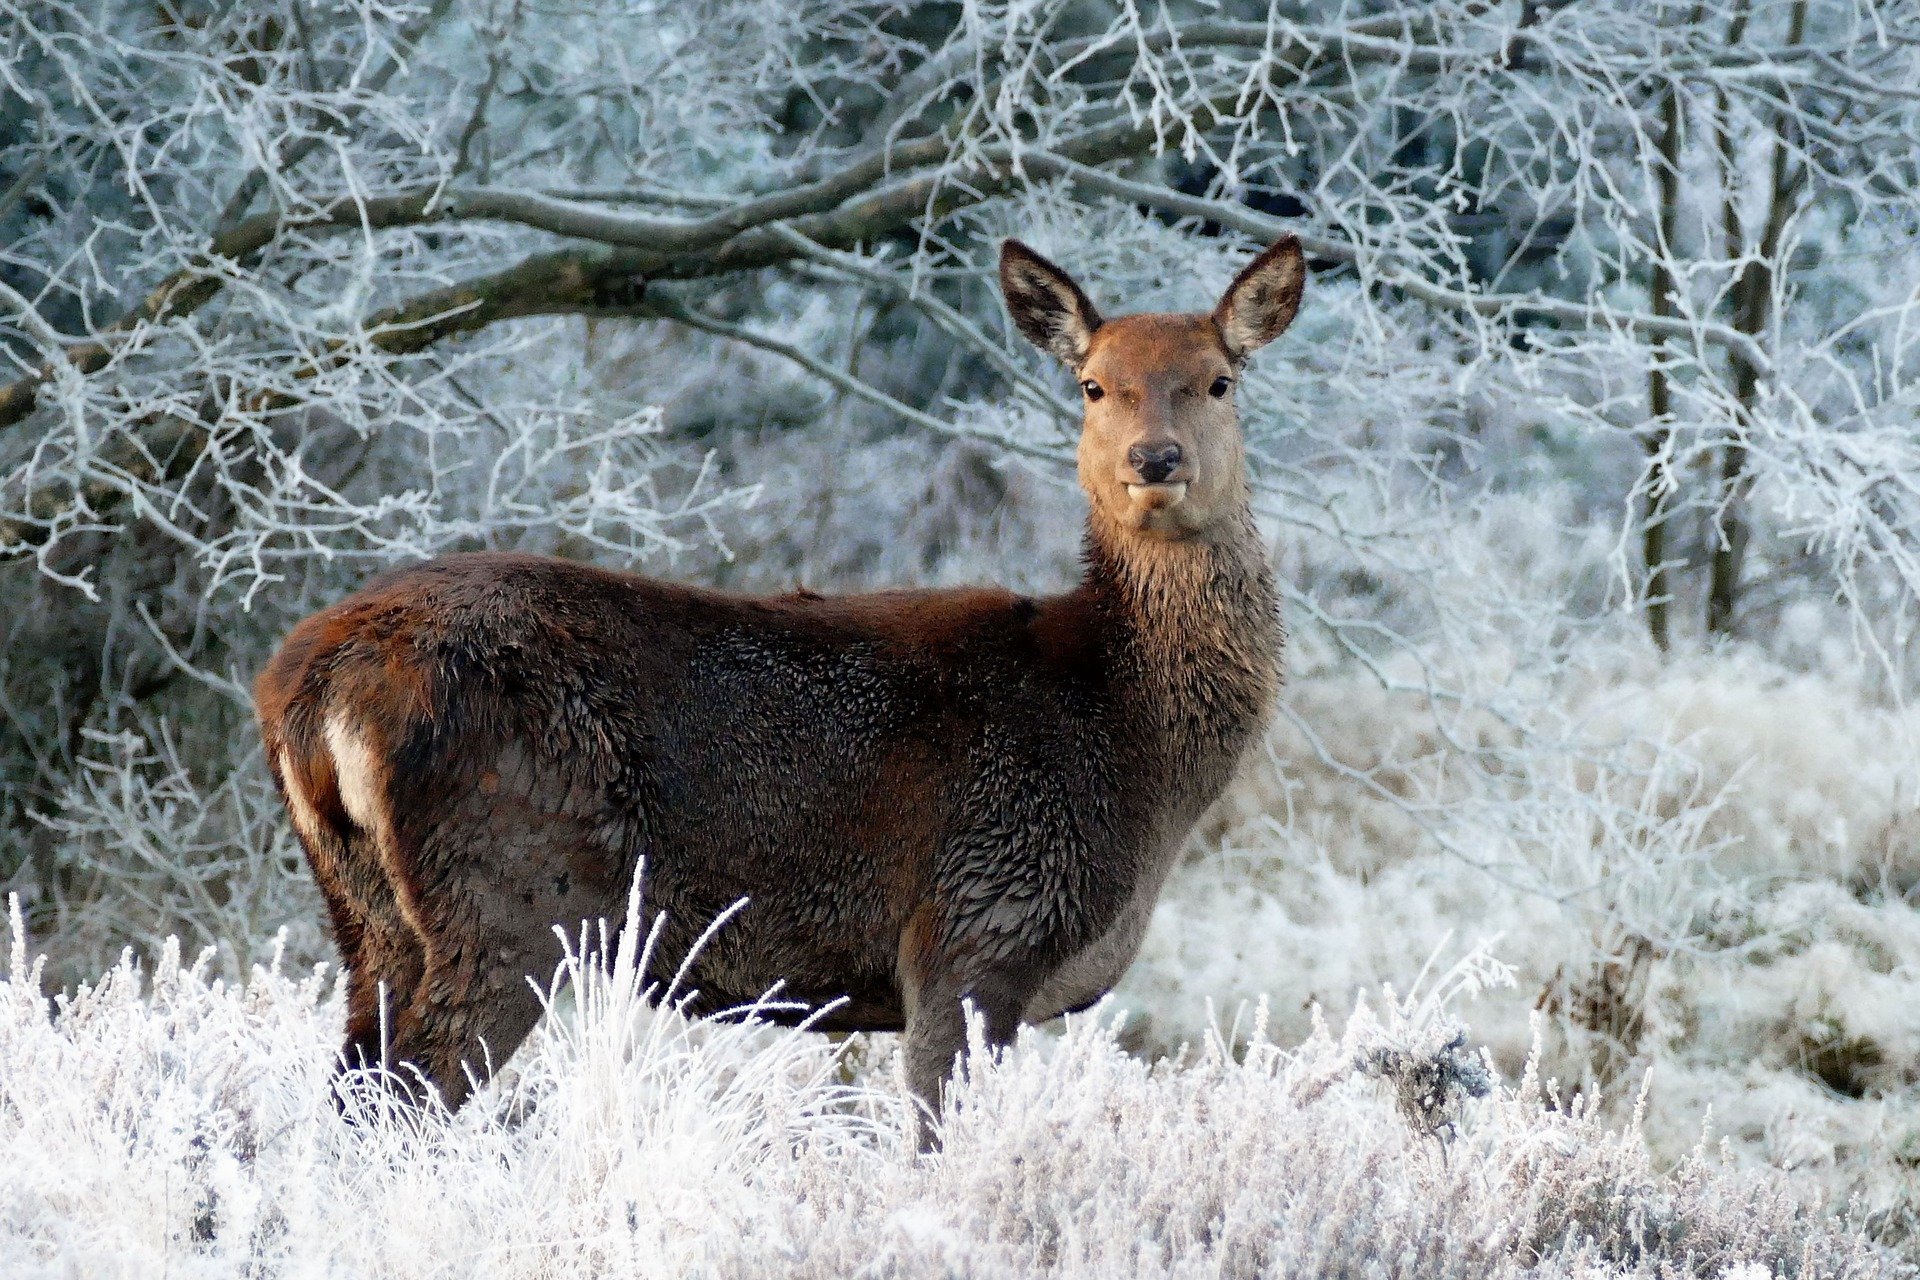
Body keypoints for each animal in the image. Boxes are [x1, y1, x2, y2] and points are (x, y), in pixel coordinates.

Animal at [251, 235, 1305, 1143]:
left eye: (1218, 380)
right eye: (1094, 385)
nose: (1154, 460)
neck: (1126, 741)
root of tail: (308, 685)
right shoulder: (975, 928)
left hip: (368, 918)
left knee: (352, 1095)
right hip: (510, 890)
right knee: (406, 1104)